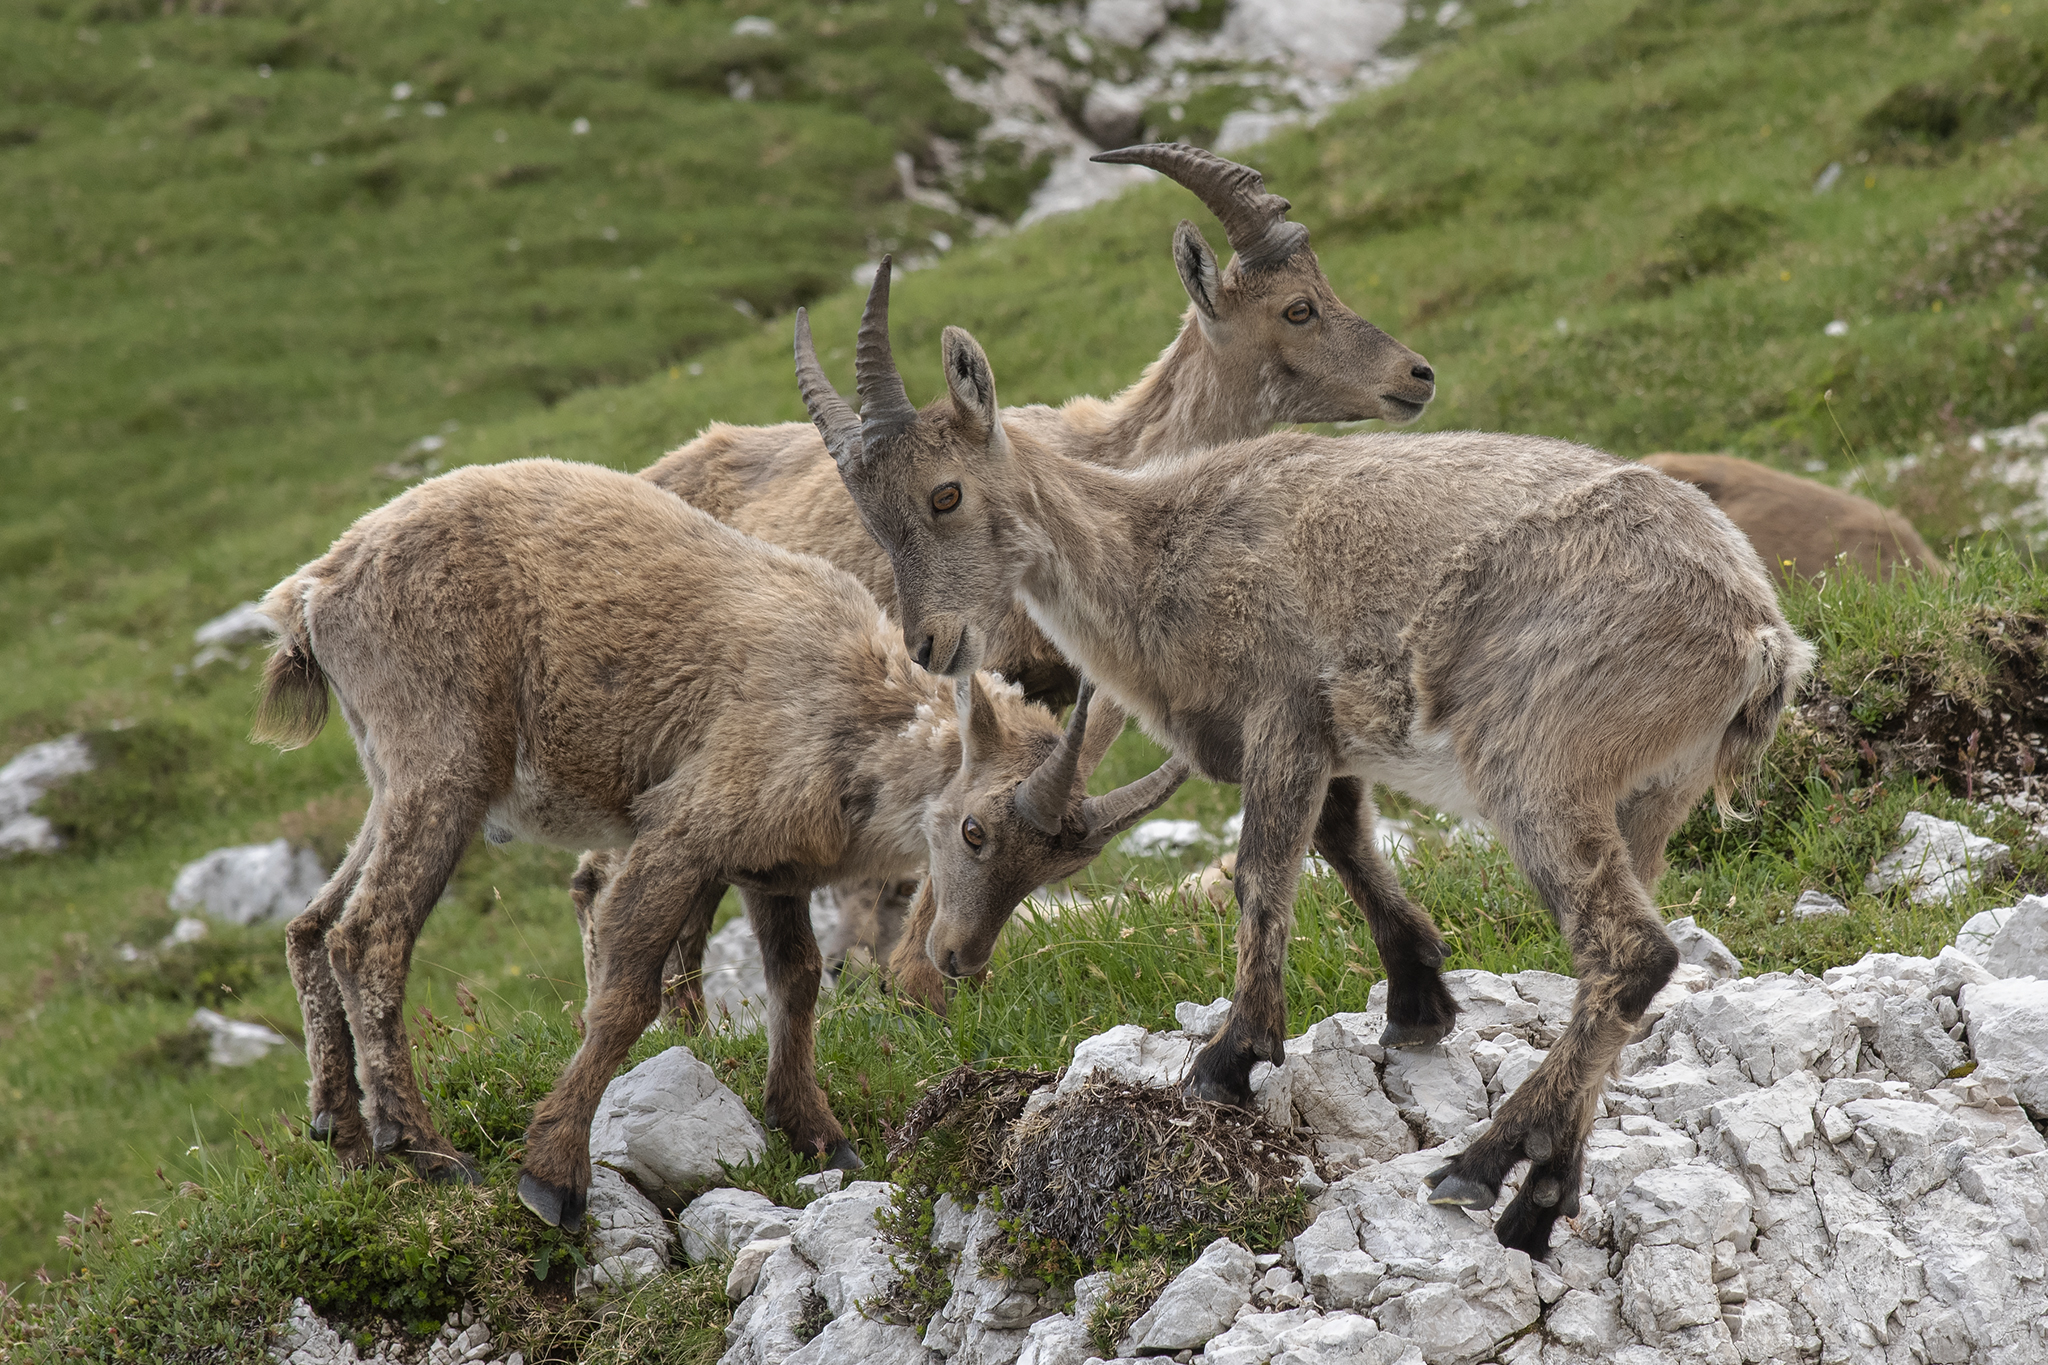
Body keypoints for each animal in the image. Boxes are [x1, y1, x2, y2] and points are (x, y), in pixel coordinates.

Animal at [250, 457, 1183, 1230]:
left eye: (1052, 869)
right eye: (974, 828)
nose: (956, 958)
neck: (845, 718)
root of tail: (314, 590)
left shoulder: (772, 869)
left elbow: (796, 982)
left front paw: (816, 1131)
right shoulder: (683, 831)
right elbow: (625, 996)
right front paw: (553, 1174)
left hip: (391, 771)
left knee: (309, 923)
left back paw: (342, 1128)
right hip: (445, 756)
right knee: (368, 933)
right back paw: (425, 1147)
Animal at [793, 268, 1815, 1259]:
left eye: (947, 492)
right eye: (872, 517)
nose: (931, 643)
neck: (1156, 547)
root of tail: (1757, 633)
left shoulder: (1280, 710)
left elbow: (1263, 871)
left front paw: (1231, 1056)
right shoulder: (1330, 736)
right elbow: (1344, 839)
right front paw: (1418, 998)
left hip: (1537, 765)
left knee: (1633, 952)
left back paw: (1480, 1163)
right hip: (1648, 798)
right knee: (1613, 971)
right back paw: (1542, 1194)